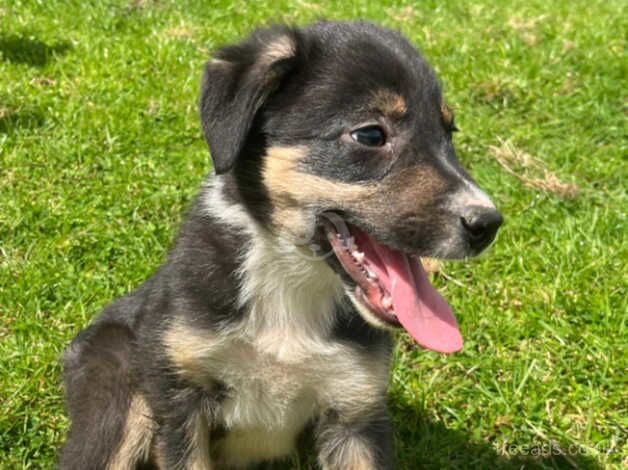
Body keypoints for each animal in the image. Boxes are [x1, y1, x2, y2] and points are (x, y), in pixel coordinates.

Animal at [61, 20, 502, 468]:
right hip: (118, 393)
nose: (488, 223)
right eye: (370, 134)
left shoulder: (355, 407)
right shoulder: (180, 398)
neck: (291, 275)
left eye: (449, 132)